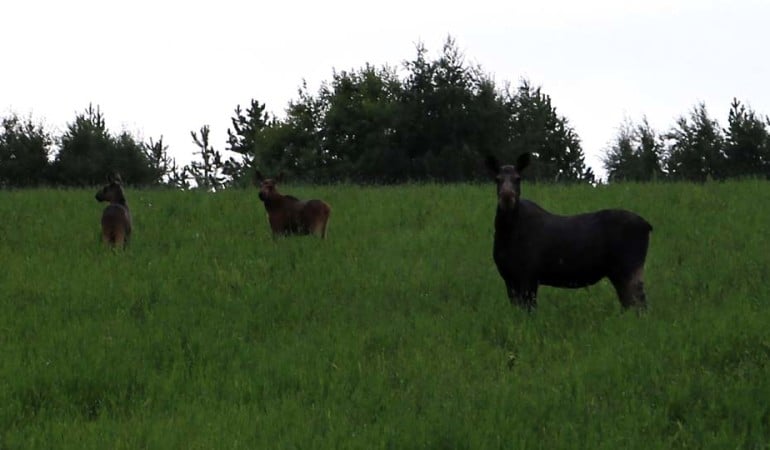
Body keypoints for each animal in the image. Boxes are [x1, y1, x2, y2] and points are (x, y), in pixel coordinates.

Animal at [486, 153, 648, 312]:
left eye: (518, 178)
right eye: (497, 179)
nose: (507, 196)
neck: (507, 232)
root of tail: (648, 226)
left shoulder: (529, 275)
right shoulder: (509, 277)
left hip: (630, 268)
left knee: (639, 303)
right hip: (618, 272)